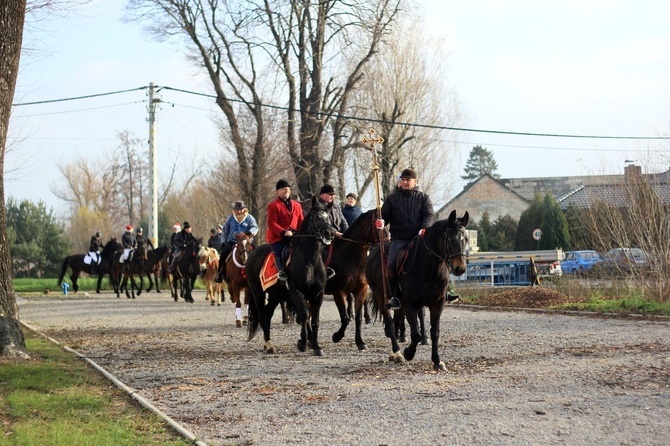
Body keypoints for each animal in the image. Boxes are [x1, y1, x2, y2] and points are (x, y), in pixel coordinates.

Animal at [247, 195, 338, 356]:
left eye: (329, 217)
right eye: (317, 217)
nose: (330, 233)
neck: (310, 260)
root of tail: (253, 253)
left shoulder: (317, 293)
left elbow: (314, 319)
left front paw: (316, 346)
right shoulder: (296, 291)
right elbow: (304, 315)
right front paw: (303, 343)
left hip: (276, 294)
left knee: (268, 314)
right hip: (257, 291)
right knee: (263, 315)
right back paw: (269, 345)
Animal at [326, 209, 384, 352]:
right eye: (378, 225)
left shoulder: (361, 291)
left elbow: (358, 318)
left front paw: (360, 342)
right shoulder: (339, 293)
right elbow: (345, 318)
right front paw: (337, 336)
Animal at [364, 211, 470, 372]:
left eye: (466, 239)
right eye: (452, 239)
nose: (460, 269)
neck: (429, 267)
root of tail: (375, 251)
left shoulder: (437, 304)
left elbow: (435, 333)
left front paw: (437, 361)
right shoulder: (410, 305)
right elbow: (416, 335)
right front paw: (408, 353)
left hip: (399, 305)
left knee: (396, 322)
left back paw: (394, 354)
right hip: (382, 297)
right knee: (390, 323)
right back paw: (398, 353)